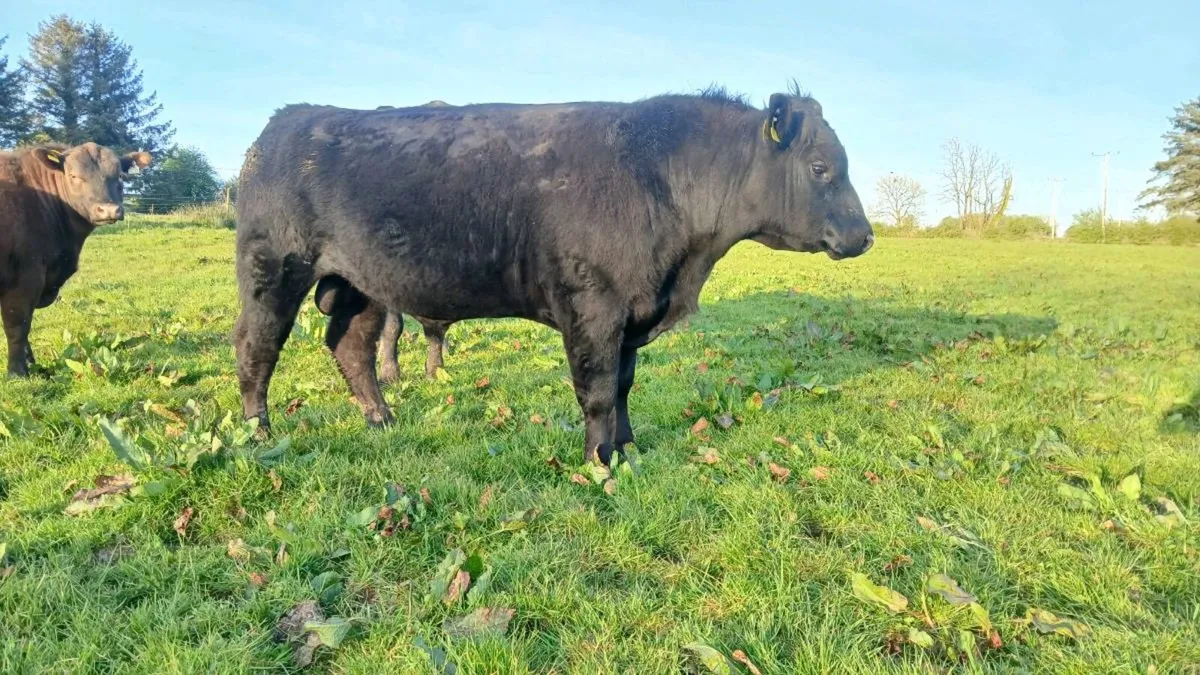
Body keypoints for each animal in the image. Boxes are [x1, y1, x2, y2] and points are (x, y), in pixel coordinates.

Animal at [0, 142, 151, 377]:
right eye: (73, 176)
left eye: (119, 175)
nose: (108, 209)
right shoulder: (25, 277)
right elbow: (18, 326)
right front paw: (17, 372)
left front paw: (32, 364)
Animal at [234, 86, 873, 465]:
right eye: (821, 168)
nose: (865, 236)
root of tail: (287, 120)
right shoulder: (592, 308)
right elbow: (596, 390)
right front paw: (598, 462)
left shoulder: (631, 314)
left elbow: (622, 386)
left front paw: (629, 447)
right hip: (273, 269)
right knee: (256, 347)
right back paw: (259, 434)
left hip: (362, 284)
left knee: (351, 347)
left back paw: (381, 420)